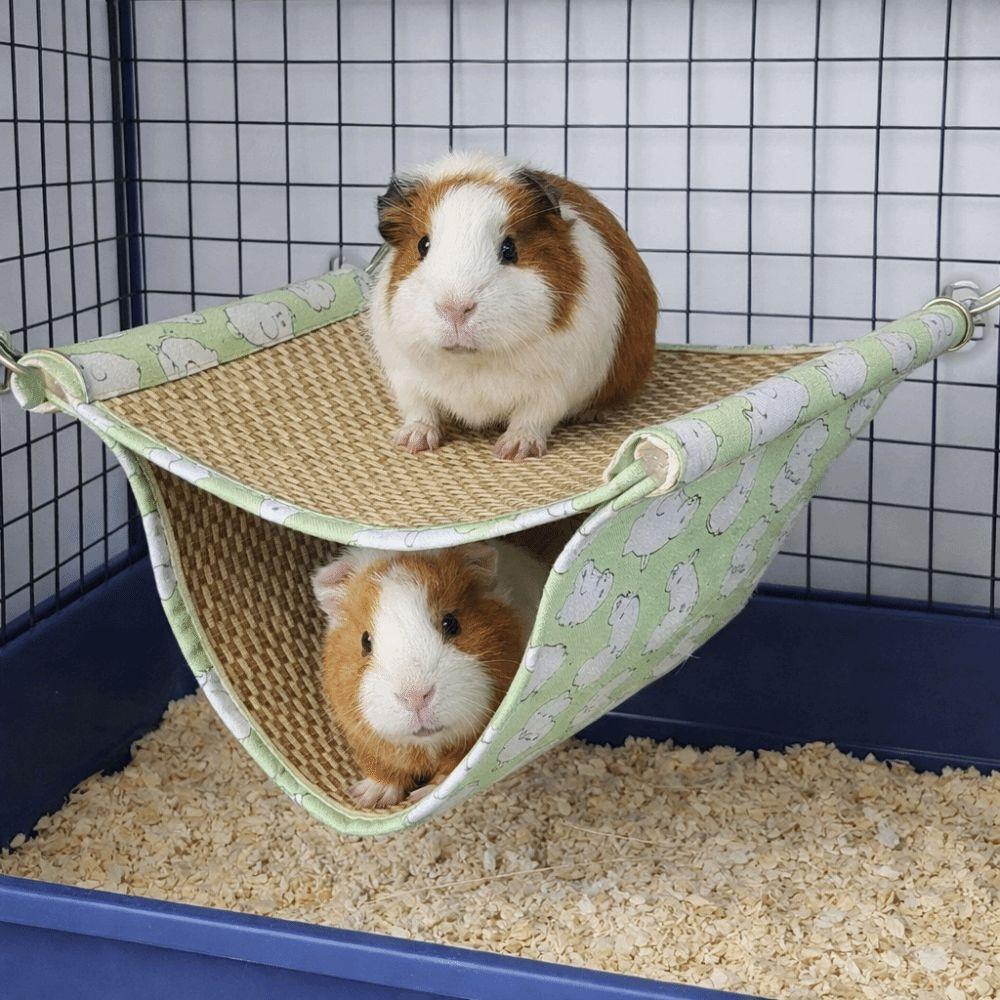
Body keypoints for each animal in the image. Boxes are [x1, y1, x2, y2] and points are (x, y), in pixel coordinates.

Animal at [312, 540, 549, 807]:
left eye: (451, 623)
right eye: (365, 641)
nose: (415, 697)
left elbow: (451, 770)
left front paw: (422, 795)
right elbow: (382, 767)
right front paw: (369, 798)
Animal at [370, 151, 658, 461]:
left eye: (509, 249)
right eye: (423, 245)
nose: (456, 308)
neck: (472, 362)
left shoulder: (556, 383)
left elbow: (532, 417)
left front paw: (514, 451)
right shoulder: (404, 374)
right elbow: (420, 410)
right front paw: (412, 442)